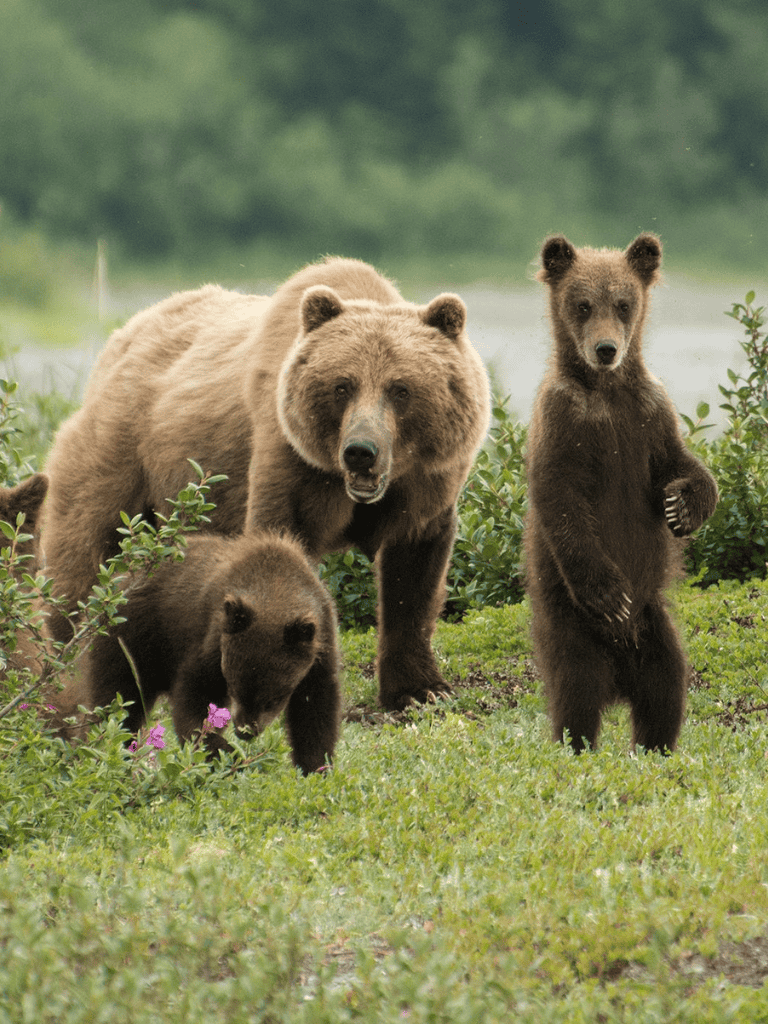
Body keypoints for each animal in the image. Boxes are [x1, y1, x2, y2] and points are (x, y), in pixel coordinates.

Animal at [40, 257, 491, 710]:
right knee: (84, 556)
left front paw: (419, 688)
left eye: (401, 389)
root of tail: (122, 336)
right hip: (123, 456)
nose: (361, 451)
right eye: (342, 385)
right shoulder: (291, 458)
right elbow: (280, 548)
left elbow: (414, 577)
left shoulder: (425, 483)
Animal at [50, 531, 341, 774]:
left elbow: (316, 711)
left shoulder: (321, 648)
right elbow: (195, 699)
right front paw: (227, 756)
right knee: (116, 698)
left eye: (274, 697)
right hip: (130, 639)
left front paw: (316, 766)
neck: (275, 583)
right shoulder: (211, 639)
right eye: (235, 687)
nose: (245, 731)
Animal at [524, 233, 719, 754]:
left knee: (667, 686)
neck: (605, 391)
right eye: (583, 304)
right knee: (576, 690)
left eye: (624, 303)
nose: (607, 349)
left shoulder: (648, 415)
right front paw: (611, 594)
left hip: (656, 626)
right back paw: (579, 743)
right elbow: (563, 502)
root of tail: (619, 676)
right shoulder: (564, 424)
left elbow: (681, 464)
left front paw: (682, 506)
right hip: (570, 624)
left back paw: (655, 746)